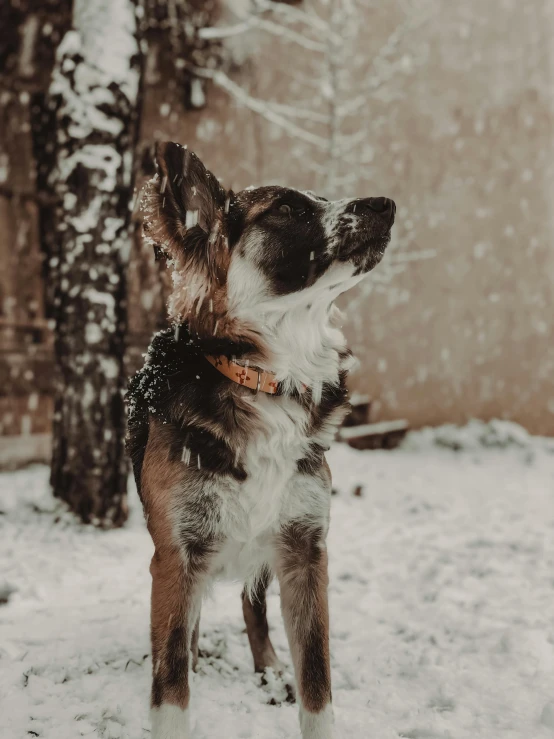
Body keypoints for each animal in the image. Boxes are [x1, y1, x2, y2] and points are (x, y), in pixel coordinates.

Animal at [126, 142, 392, 736]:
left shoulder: (304, 552)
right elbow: (170, 685)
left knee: (255, 610)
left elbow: (317, 685)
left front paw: (290, 681)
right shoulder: (176, 555)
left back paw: (269, 668)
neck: (268, 377)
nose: (386, 203)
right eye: (288, 209)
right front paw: (180, 677)